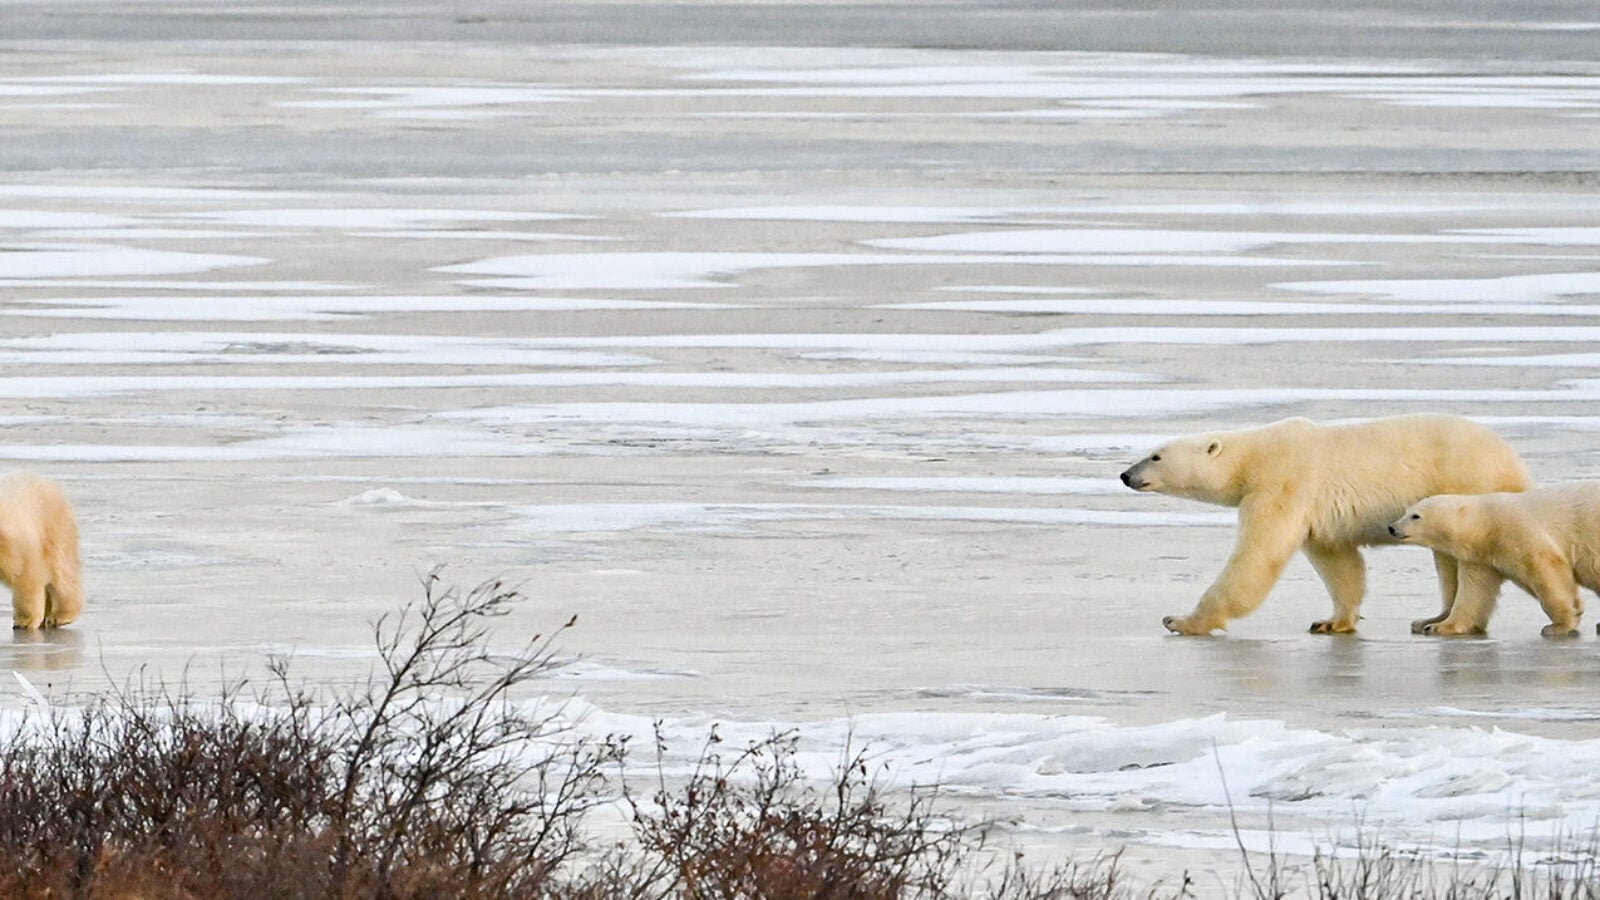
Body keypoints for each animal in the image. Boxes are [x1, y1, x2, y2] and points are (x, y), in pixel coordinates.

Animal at [0, 473, 83, 630]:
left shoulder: (15, 545)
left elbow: (25, 575)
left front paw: (24, 621)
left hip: (53, 531)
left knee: (61, 574)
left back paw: (59, 616)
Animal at [1119, 415, 1529, 636]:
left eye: (1155, 455)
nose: (1125, 475)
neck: (1254, 457)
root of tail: (1515, 463)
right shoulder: (1316, 513)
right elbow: (1338, 563)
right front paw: (1332, 622)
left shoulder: (1282, 486)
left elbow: (1257, 557)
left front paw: (1181, 620)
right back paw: (1432, 617)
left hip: (1467, 484)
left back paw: (1447, 622)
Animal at [1387, 484, 1600, 637]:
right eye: (1406, 511)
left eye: (1415, 516)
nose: (1392, 527)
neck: (1487, 524)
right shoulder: (1481, 559)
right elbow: (1474, 592)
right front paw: (1437, 627)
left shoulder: (1517, 530)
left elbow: (1546, 570)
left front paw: (1558, 625)